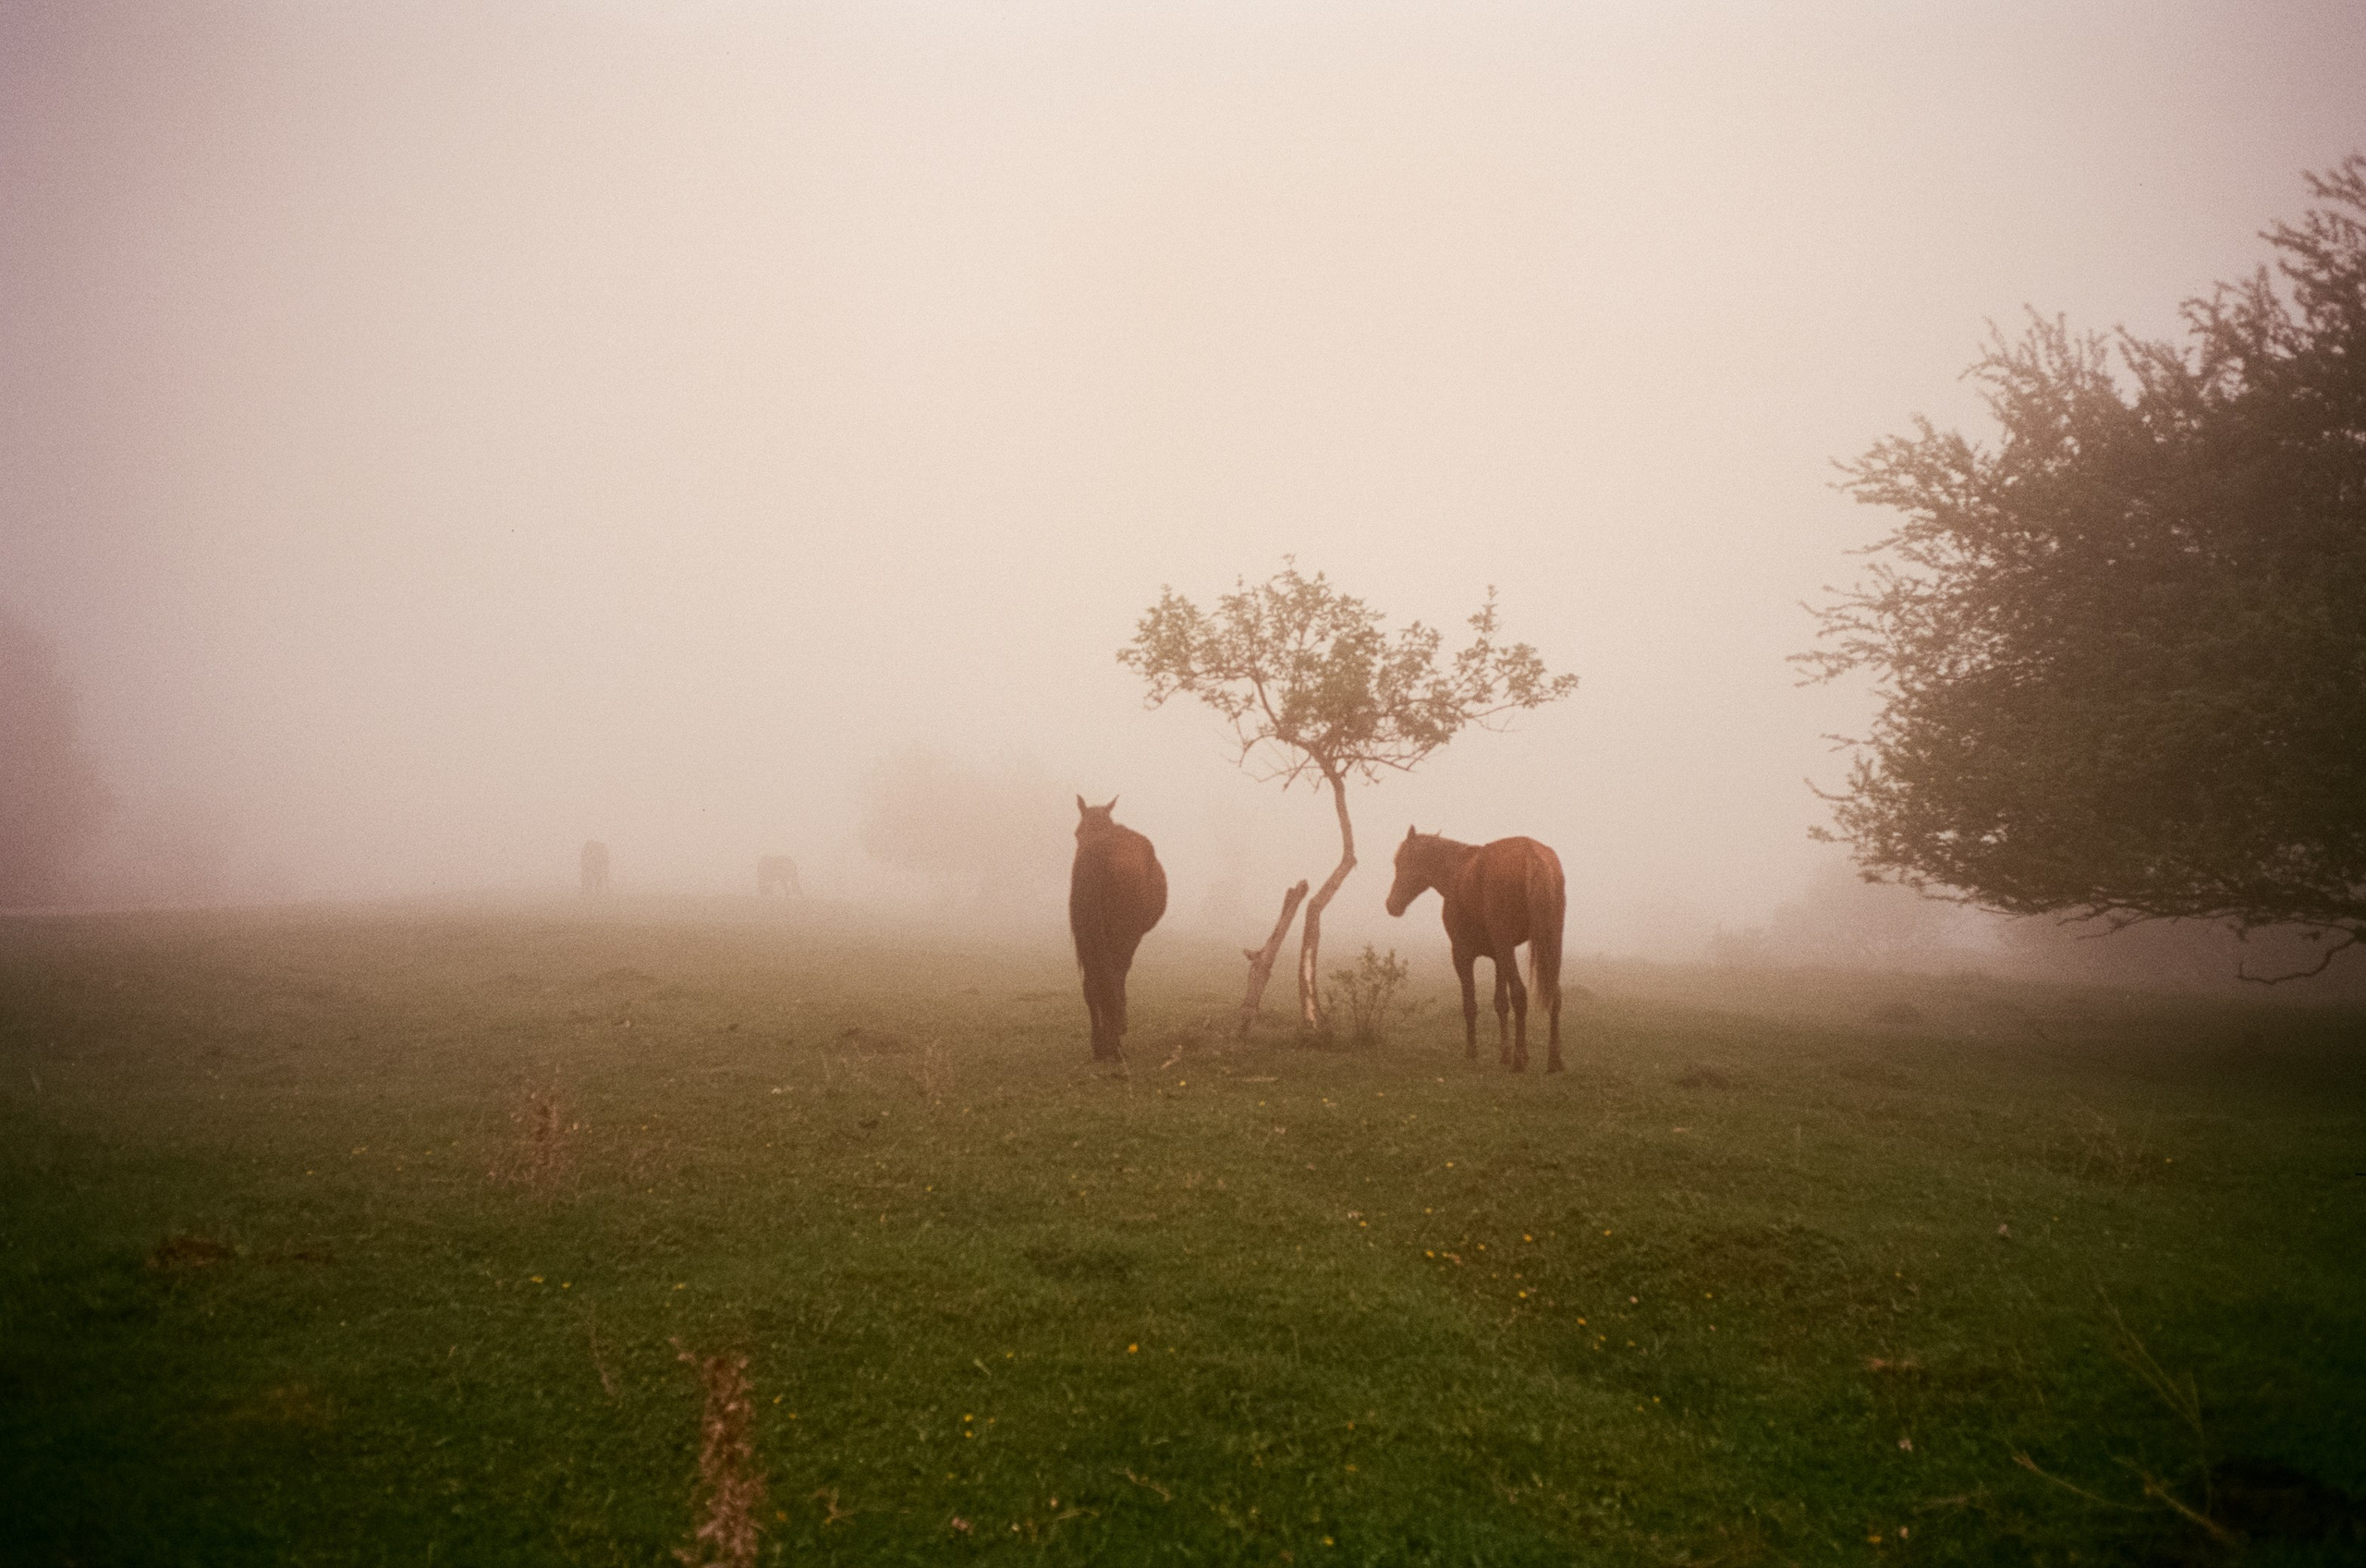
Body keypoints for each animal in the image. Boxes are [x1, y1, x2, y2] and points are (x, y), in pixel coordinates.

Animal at [1069, 795, 1167, 1062]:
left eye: (1078, 832)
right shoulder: (1130, 934)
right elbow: (1118, 976)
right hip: (1122, 932)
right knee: (1112, 975)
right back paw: (1114, 1042)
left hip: (1088, 934)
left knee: (1092, 983)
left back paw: (1100, 1045)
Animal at [1385, 827, 1565, 1072]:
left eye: (1401, 862)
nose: (1391, 906)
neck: (1457, 871)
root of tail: (1532, 852)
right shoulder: (1499, 957)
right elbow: (1501, 1004)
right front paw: (1505, 1052)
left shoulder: (1463, 954)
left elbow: (1470, 1004)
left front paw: (1472, 1051)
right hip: (1548, 945)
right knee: (1555, 996)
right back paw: (1554, 1059)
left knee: (1520, 994)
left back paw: (1519, 1058)